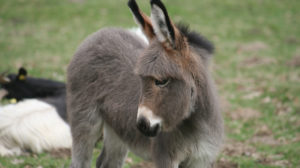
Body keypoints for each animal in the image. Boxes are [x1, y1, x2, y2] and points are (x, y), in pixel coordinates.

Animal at [67, 0, 223, 168]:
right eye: (141, 80)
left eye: (161, 81)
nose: (141, 125)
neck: (196, 124)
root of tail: (101, 33)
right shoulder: (166, 158)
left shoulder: (201, 159)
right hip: (85, 121)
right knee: (79, 160)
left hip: (117, 129)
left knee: (107, 161)